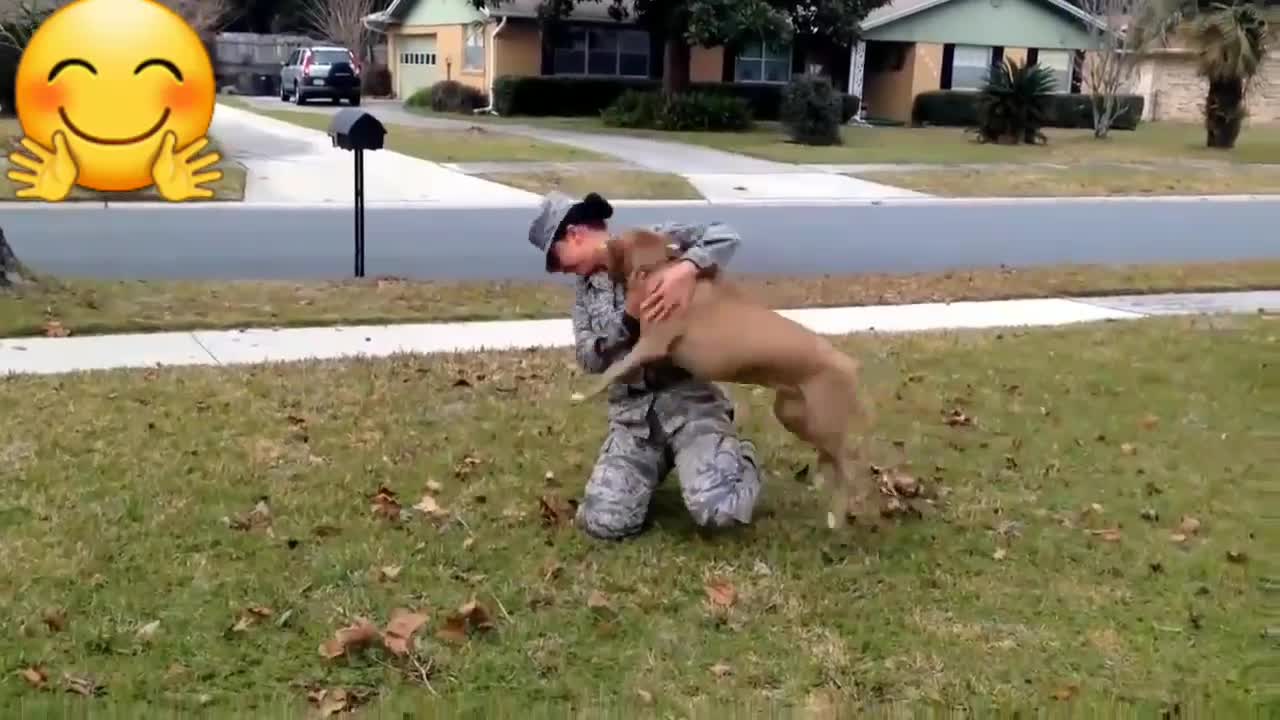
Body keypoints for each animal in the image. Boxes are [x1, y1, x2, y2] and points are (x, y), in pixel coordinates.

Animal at [576, 228, 875, 527]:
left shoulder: (650, 345)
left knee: (848, 466)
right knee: (830, 456)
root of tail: (850, 364)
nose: (598, 254)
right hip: (794, 414)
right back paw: (821, 482)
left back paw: (836, 517)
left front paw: (580, 394)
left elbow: (611, 372)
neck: (658, 267)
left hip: (823, 420)